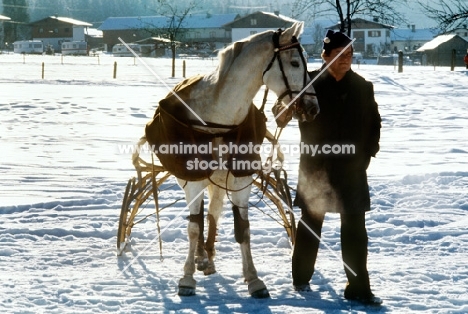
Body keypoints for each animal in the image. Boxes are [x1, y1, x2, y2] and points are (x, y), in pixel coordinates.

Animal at [145, 21, 318, 296]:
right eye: (294, 63)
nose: (313, 107)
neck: (219, 118)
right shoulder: (193, 180)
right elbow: (193, 228)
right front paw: (187, 278)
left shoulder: (240, 180)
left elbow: (242, 229)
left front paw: (254, 279)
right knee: (200, 217)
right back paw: (200, 257)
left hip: (218, 181)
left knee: (212, 214)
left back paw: (207, 257)